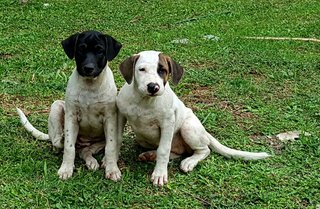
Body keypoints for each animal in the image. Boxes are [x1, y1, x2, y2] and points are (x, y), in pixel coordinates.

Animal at [16, 31, 123, 181]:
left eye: (100, 51)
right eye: (81, 49)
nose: (88, 68)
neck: (90, 86)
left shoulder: (110, 118)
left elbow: (111, 146)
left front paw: (112, 169)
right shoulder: (71, 117)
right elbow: (69, 147)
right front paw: (66, 168)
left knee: (86, 151)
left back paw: (94, 161)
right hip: (57, 106)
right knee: (59, 144)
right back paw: (61, 139)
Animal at [116, 50, 268, 186]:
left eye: (162, 70)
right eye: (141, 69)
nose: (153, 87)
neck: (144, 101)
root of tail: (205, 132)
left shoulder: (168, 123)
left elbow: (163, 150)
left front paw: (159, 174)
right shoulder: (121, 116)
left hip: (188, 127)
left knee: (203, 150)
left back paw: (189, 161)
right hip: (143, 139)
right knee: (177, 152)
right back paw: (151, 155)